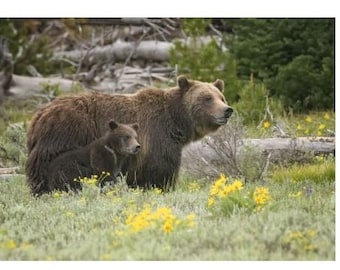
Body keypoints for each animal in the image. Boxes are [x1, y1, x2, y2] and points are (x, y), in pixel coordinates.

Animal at [25, 75, 234, 195]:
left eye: (221, 97)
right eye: (207, 98)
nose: (227, 110)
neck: (176, 121)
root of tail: (38, 115)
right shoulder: (157, 137)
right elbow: (160, 171)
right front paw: (161, 189)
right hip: (65, 137)